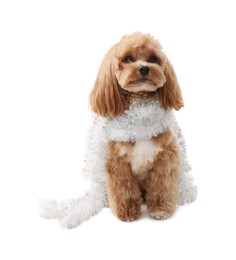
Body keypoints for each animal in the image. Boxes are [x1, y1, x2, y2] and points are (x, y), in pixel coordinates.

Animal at [39, 32, 196, 228]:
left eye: (153, 59)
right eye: (128, 58)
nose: (144, 68)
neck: (140, 114)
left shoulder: (164, 158)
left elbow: (161, 186)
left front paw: (160, 209)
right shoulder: (117, 164)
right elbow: (124, 190)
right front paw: (127, 212)